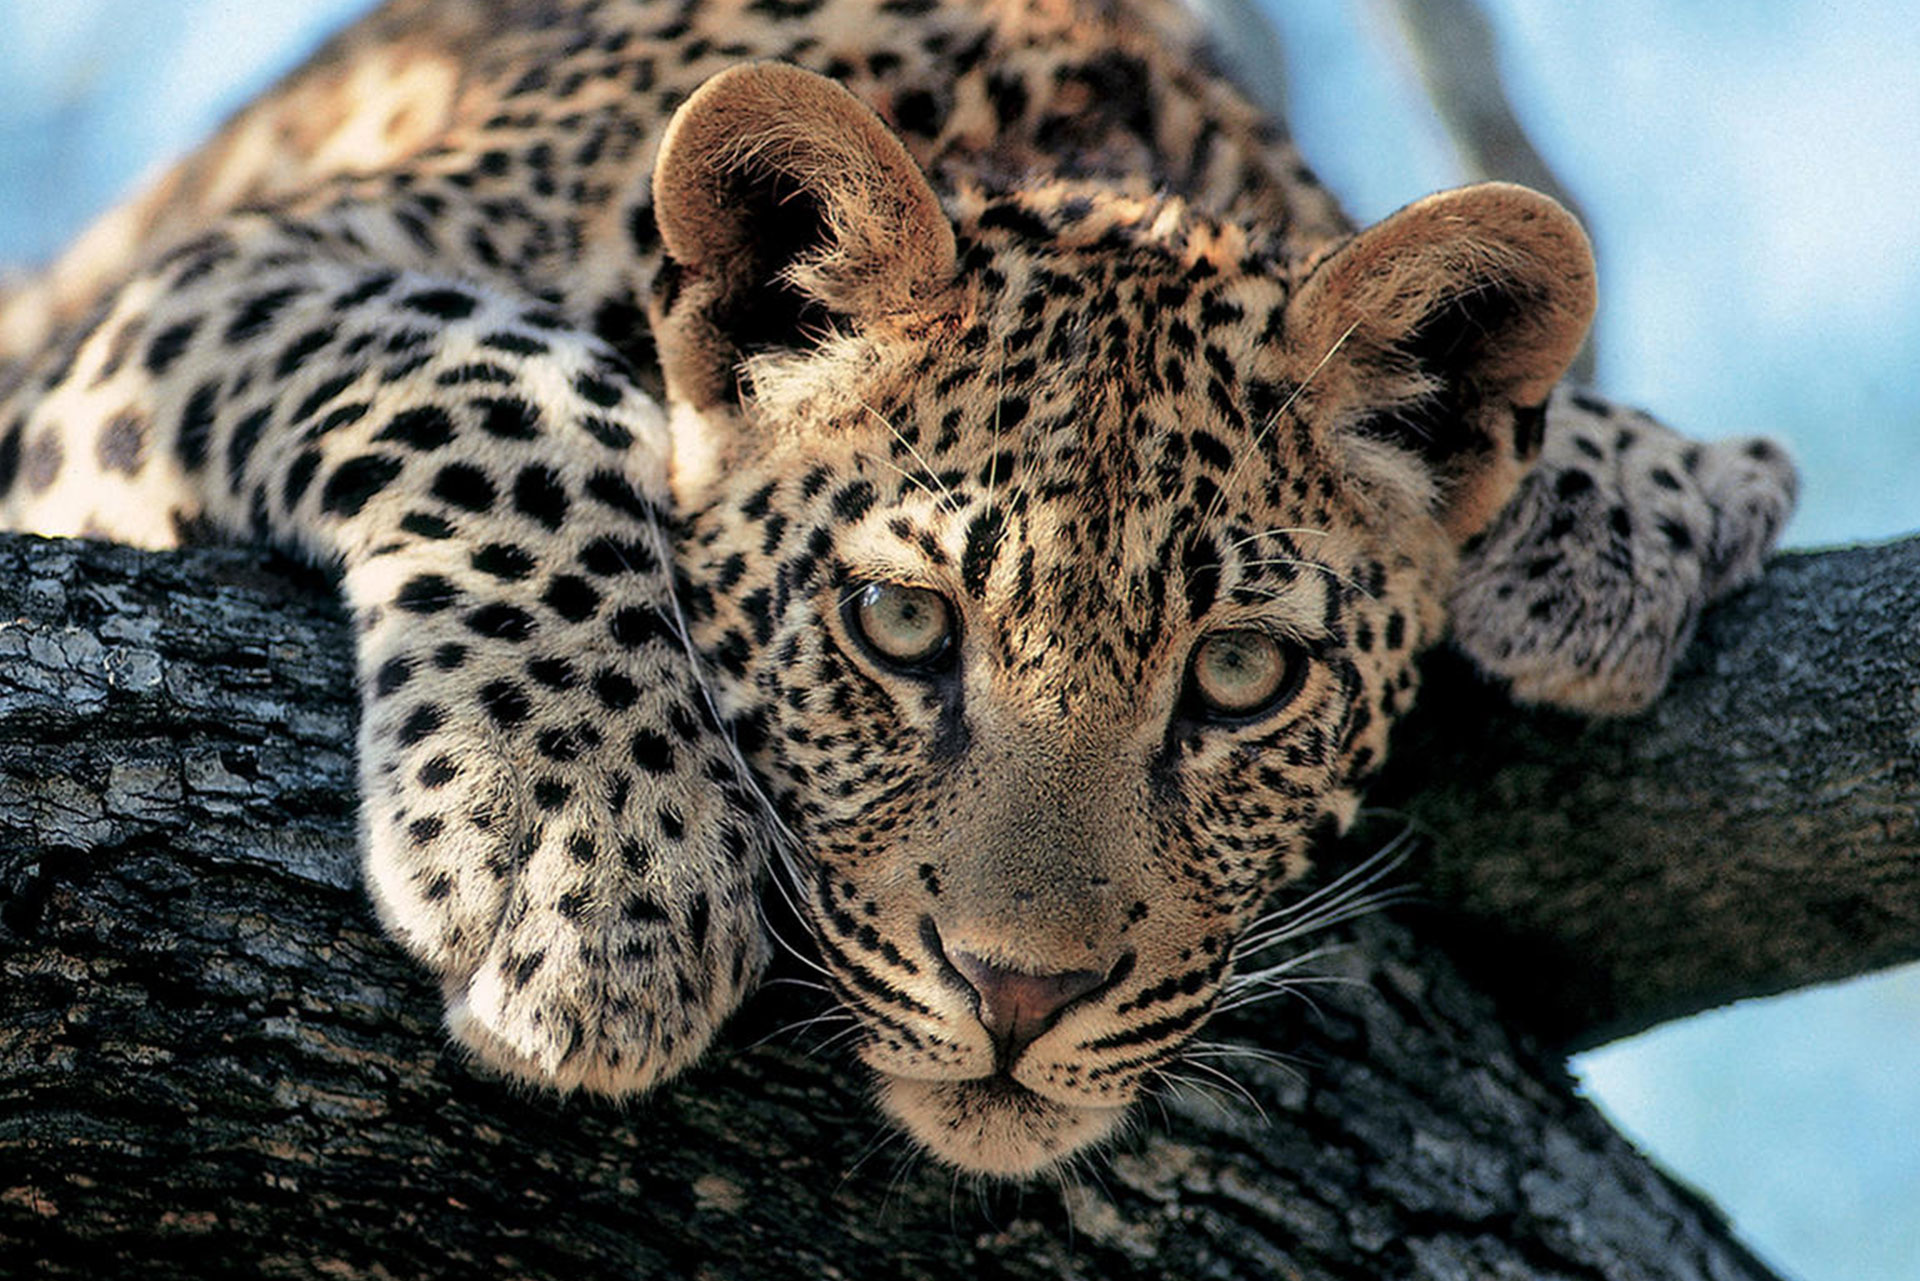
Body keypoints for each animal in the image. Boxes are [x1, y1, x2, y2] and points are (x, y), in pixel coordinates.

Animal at [0, 0, 1795, 1177]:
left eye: (1239, 677)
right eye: (902, 626)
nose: (1022, 995)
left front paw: (1634, 490)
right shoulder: (202, 293)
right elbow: (504, 384)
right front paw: (587, 857)